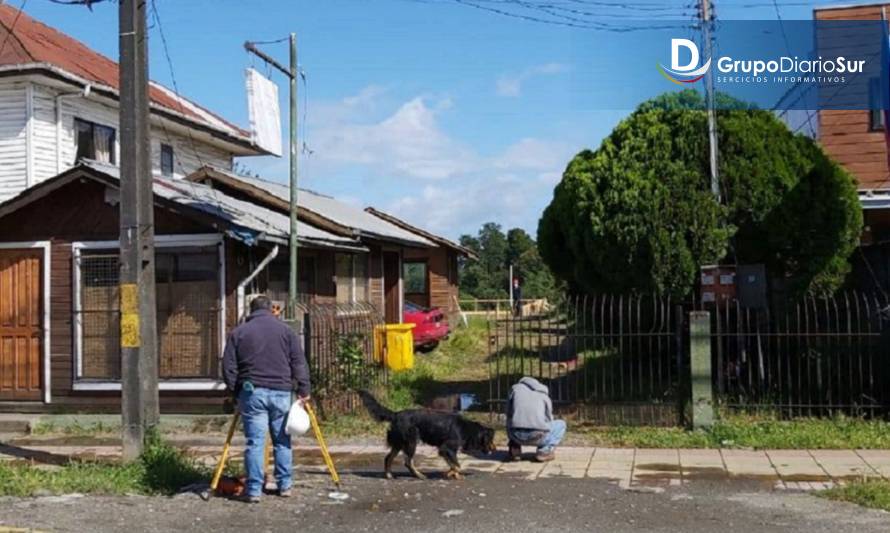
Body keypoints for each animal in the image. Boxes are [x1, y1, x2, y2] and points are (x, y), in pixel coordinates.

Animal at [358, 388, 496, 480]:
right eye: (491, 440)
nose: (495, 448)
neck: (465, 428)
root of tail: (395, 414)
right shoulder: (446, 448)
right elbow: (457, 465)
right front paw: (450, 473)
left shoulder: (445, 450)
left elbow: (453, 464)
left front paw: (454, 474)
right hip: (411, 442)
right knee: (408, 462)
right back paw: (419, 475)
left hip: (399, 443)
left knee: (388, 458)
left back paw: (389, 475)